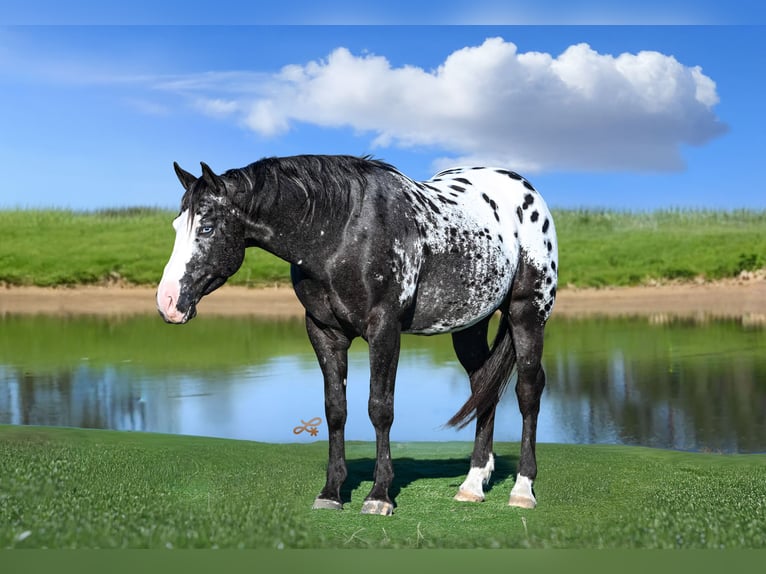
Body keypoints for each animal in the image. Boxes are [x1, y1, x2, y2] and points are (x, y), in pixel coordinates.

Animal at [156, 155, 558, 515]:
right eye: (176, 227)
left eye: (207, 228)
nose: (168, 302)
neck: (341, 233)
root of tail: (526, 191)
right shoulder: (324, 333)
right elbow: (335, 410)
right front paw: (332, 492)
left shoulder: (384, 329)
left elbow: (380, 409)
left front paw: (379, 495)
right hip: (470, 324)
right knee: (482, 386)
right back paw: (473, 484)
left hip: (528, 313)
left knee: (528, 391)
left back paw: (522, 490)